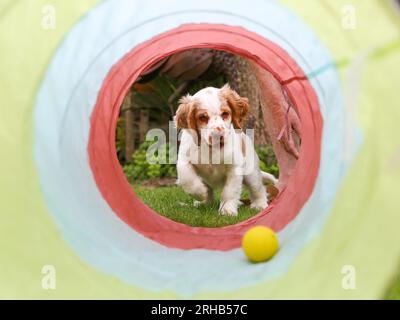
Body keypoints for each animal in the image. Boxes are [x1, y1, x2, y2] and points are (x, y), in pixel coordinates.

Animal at [175, 84, 278, 216]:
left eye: (225, 114)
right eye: (202, 117)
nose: (218, 134)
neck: (212, 149)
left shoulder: (234, 167)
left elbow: (230, 191)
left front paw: (227, 210)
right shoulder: (183, 161)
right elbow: (187, 179)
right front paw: (201, 193)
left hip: (251, 173)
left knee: (258, 188)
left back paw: (260, 205)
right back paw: (203, 202)